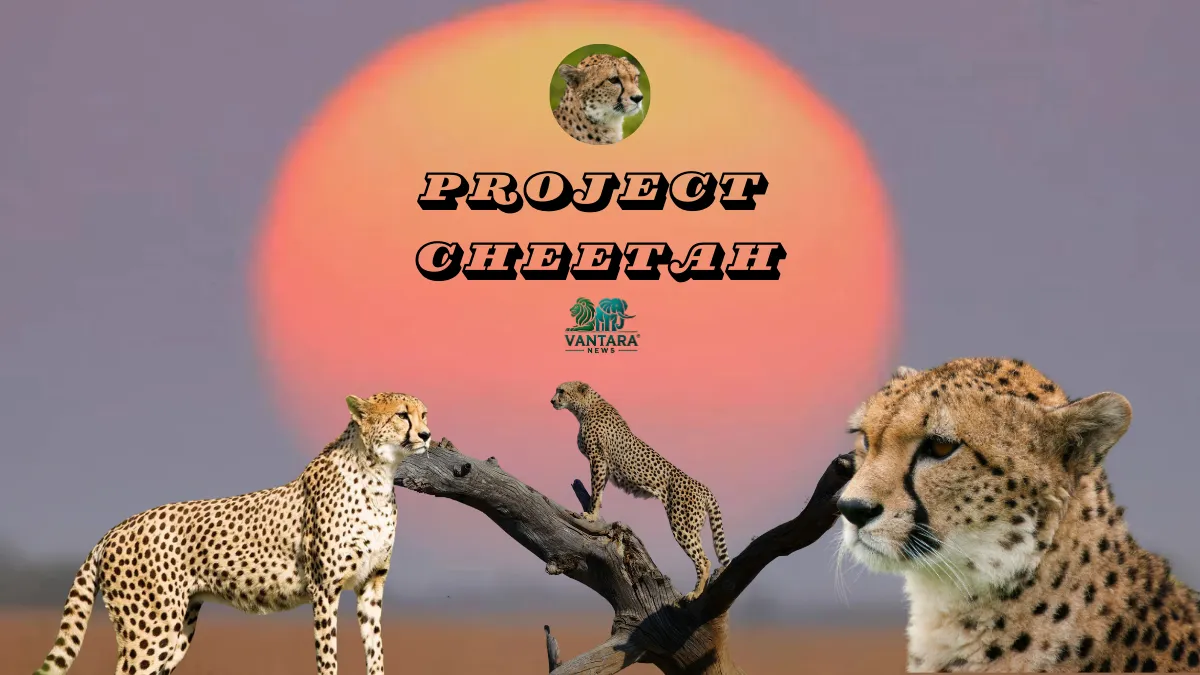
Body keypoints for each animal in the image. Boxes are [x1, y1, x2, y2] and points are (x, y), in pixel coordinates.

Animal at [32, 392, 431, 675]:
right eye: (402, 414)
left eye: (424, 413)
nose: (427, 434)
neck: (378, 475)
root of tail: (115, 528)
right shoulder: (324, 588)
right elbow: (327, 654)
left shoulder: (371, 585)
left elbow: (375, 652)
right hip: (151, 629)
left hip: (178, 627)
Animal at [550, 380, 729, 601]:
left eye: (561, 391)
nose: (552, 400)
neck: (584, 407)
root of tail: (702, 486)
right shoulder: (604, 465)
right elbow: (599, 492)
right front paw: (593, 511)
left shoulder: (598, 459)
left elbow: (596, 490)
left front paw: (591, 515)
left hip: (682, 524)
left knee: (704, 560)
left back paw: (695, 593)